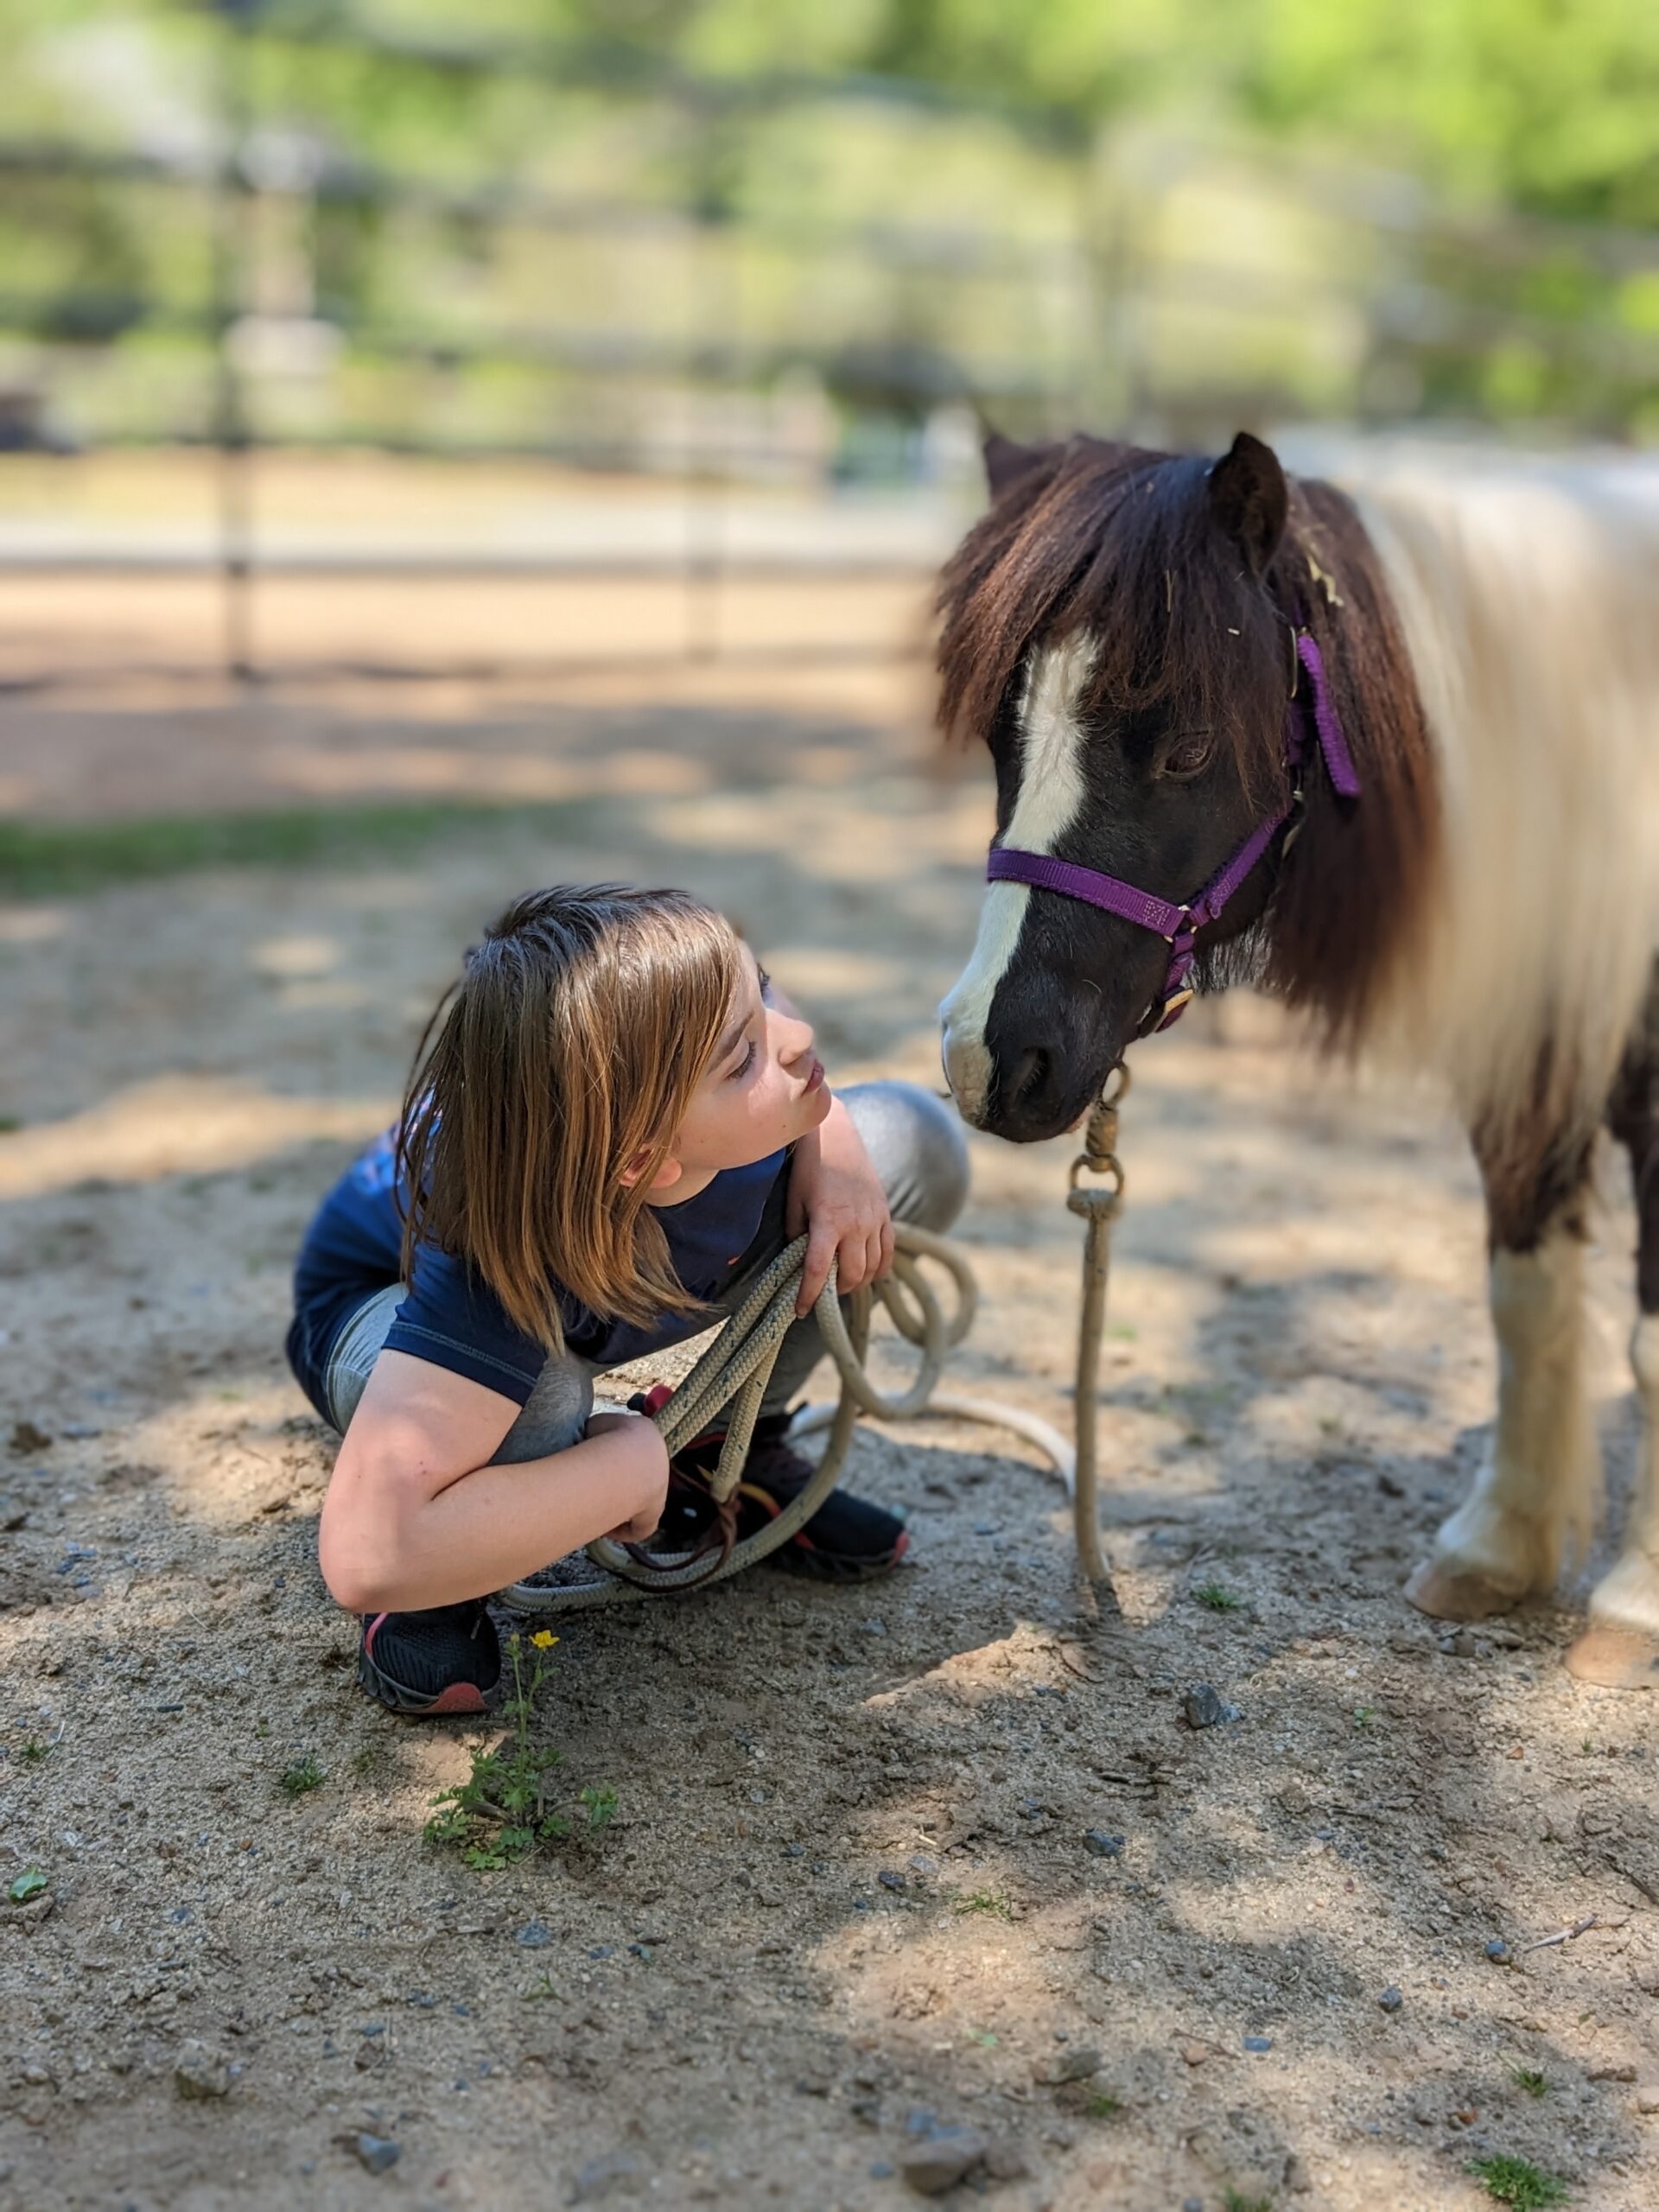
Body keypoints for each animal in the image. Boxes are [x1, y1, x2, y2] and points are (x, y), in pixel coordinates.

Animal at [942, 427, 1654, 1672]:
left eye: (1186, 748)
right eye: (1001, 736)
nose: (990, 1057)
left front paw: (1636, 1599)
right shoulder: (1534, 1049)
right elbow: (1524, 1291)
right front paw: (1497, 1547)